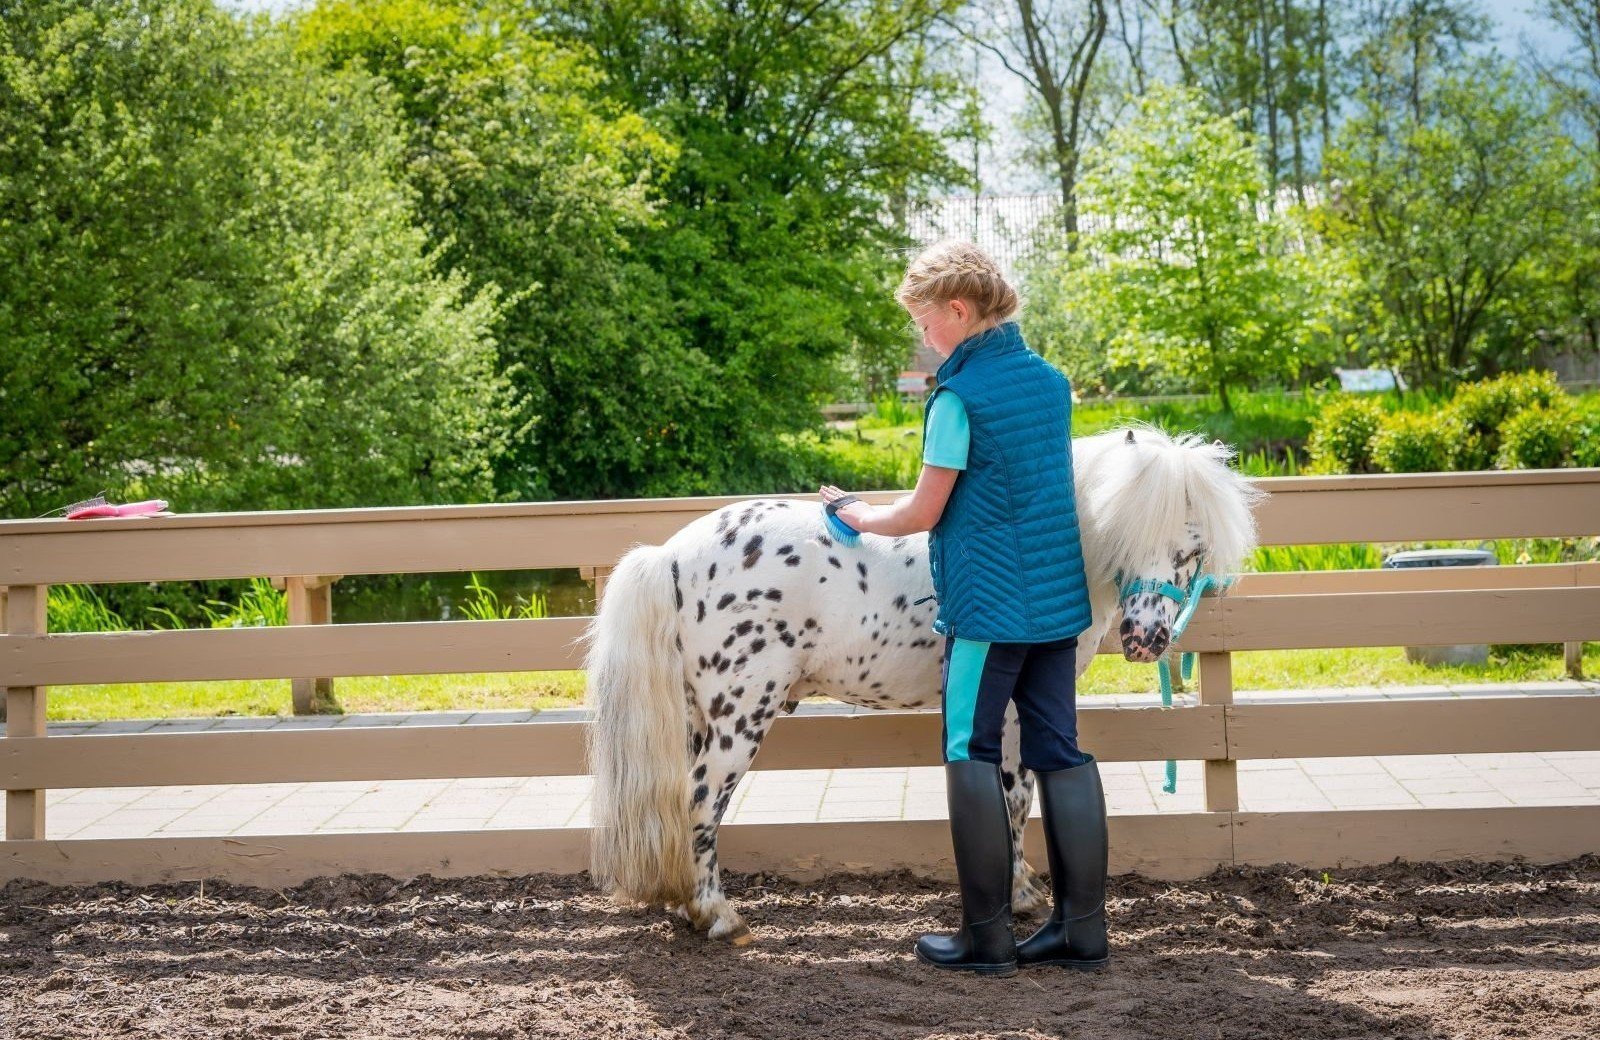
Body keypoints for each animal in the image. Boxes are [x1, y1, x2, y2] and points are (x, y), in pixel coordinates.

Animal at [579, 424, 1264, 943]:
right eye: (1129, 531)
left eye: (1192, 549)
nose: (1147, 637)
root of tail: (671, 557)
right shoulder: (1015, 714)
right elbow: (1018, 799)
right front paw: (1022, 895)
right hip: (739, 720)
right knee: (700, 803)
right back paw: (717, 915)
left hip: (702, 718)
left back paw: (684, 906)